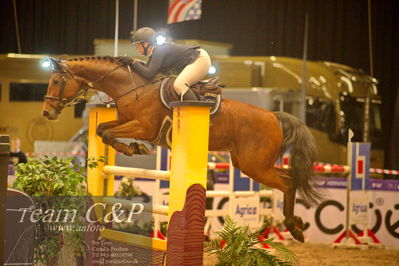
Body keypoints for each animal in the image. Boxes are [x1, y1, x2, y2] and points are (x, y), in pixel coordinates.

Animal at [42, 56, 324, 243]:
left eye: (56, 81)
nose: (47, 113)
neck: (131, 87)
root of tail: (275, 116)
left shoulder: (143, 127)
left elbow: (110, 133)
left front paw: (134, 149)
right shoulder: (126, 122)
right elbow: (103, 130)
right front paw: (132, 148)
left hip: (254, 166)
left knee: (288, 183)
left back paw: (294, 228)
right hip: (250, 164)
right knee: (289, 179)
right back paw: (293, 227)